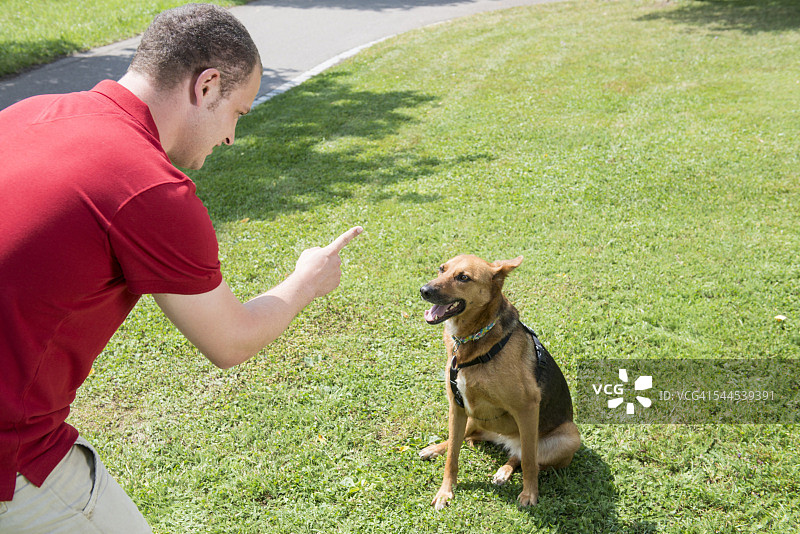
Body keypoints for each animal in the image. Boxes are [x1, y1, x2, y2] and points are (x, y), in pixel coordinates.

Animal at [418, 255, 580, 510]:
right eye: (441, 269)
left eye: (463, 277)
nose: (424, 290)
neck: (474, 339)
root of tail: (501, 439)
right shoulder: (456, 406)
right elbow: (452, 455)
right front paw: (445, 491)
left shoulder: (527, 408)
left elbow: (529, 462)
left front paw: (529, 494)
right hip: (472, 418)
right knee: (463, 439)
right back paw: (435, 448)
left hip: (569, 436)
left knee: (522, 456)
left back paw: (503, 471)